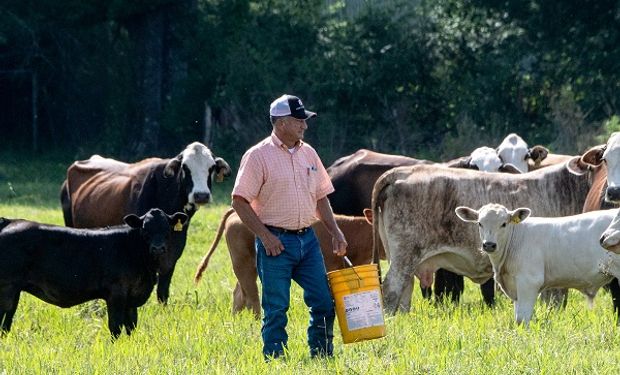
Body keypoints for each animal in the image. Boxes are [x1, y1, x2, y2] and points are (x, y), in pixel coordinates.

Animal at [0, 209, 189, 338]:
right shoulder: (116, 294)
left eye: (167, 228)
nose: (158, 248)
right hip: (7, 288)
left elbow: (131, 326)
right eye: (145, 229)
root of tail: (9, 221)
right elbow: (115, 327)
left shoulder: (131, 298)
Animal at [370, 162, 592, 314]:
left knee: (404, 291)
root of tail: (402, 171)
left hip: (402, 258)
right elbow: (554, 300)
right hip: (404, 255)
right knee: (392, 288)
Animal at [456, 203, 620, 326]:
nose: (489, 245)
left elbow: (522, 319)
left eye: (503, 224)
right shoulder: (516, 288)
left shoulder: (529, 282)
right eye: (480, 223)